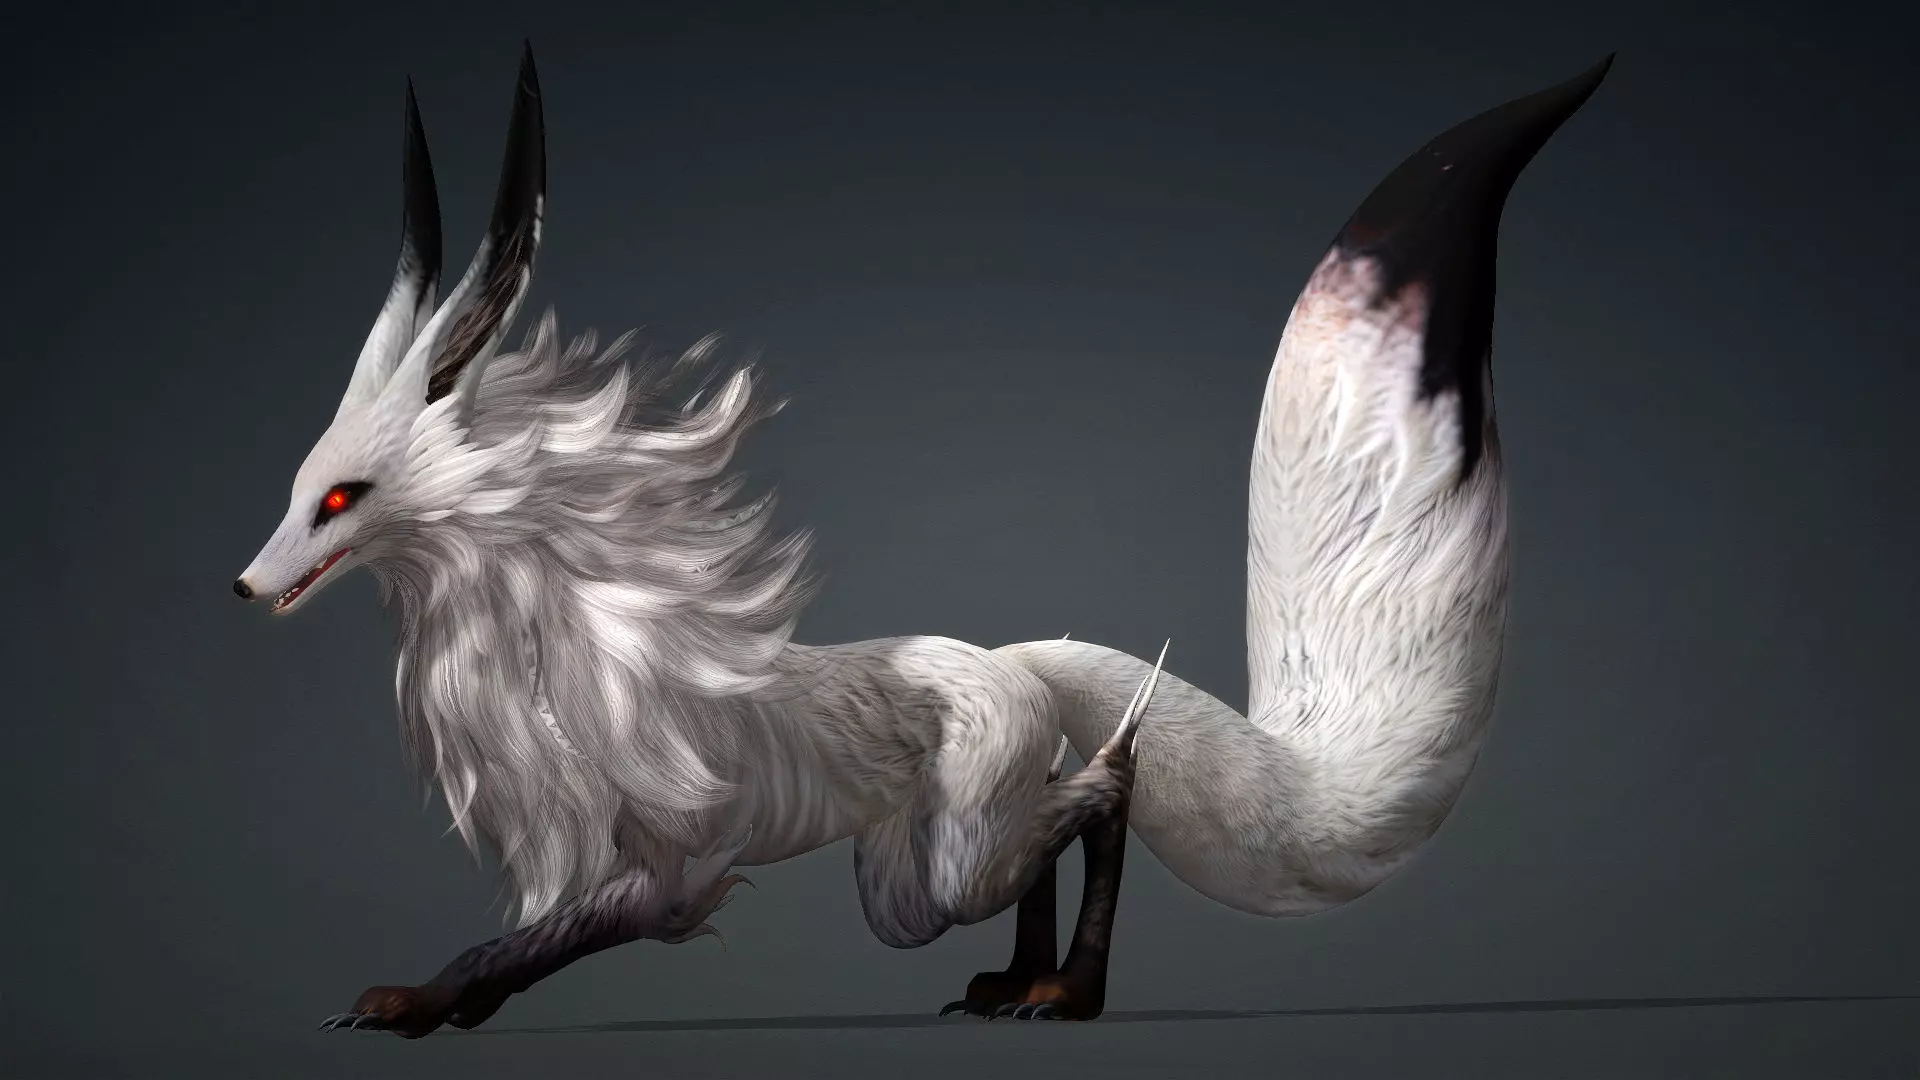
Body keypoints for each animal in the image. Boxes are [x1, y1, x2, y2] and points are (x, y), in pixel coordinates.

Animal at [234, 43, 1612, 1036]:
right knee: (1042, 823)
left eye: (340, 499)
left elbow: (533, 938)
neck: (584, 656)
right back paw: (1016, 982)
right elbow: (528, 934)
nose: (245, 586)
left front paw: (426, 1004)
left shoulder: (678, 869)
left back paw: (1070, 989)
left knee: (1093, 796)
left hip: (926, 874)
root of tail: (1011, 656)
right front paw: (434, 1004)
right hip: (905, 863)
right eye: (299, 488)